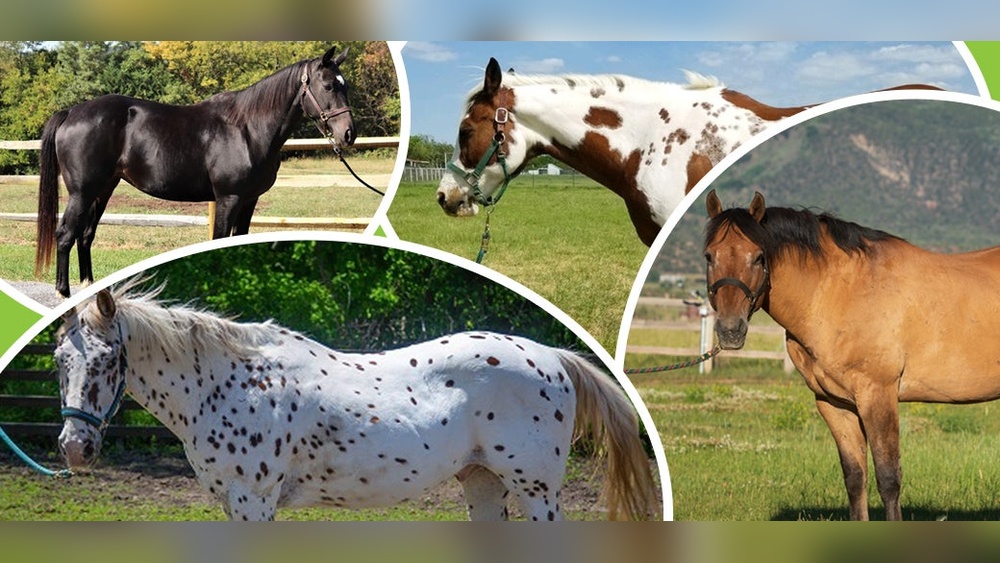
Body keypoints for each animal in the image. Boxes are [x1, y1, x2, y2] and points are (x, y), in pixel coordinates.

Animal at [35, 46, 356, 298]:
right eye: (329, 86)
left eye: (346, 86)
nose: (348, 134)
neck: (247, 129)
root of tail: (71, 112)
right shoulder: (229, 198)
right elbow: (219, 240)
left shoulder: (249, 201)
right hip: (82, 192)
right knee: (66, 234)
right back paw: (63, 292)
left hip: (103, 190)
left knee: (85, 235)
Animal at [54, 284, 659, 521]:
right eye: (60, 360)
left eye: (108, 360)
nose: (75, 447)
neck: (229, 384)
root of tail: (550, 357)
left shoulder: (254, 501)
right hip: (484, 484)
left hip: (537, 491)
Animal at [703, 188, 1000, 520]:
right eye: (709, 256)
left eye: (758, 257)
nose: (730, 330)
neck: (839, 292)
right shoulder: (835, 404)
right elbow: (855, 476)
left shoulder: (878, 395)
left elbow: (888, 478)